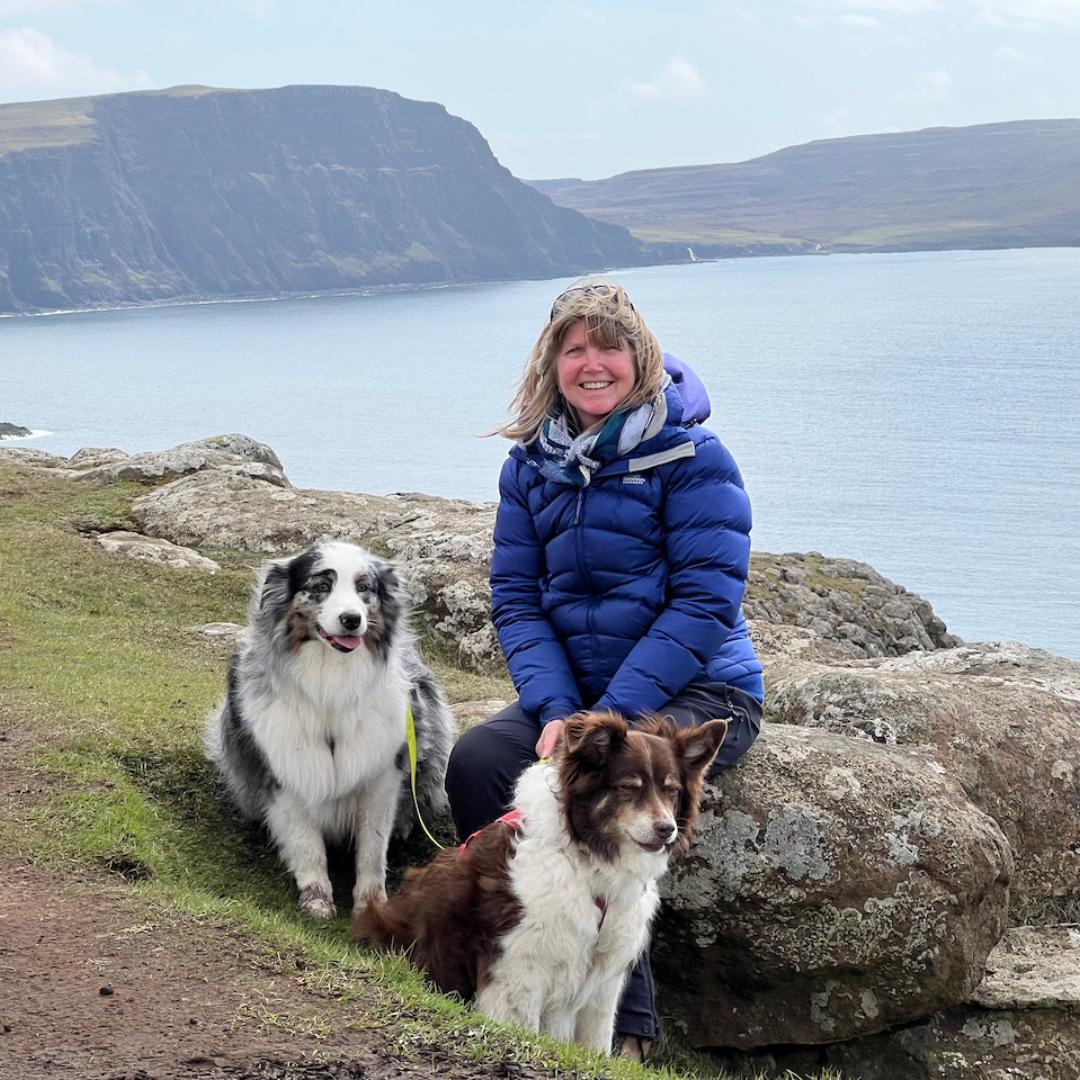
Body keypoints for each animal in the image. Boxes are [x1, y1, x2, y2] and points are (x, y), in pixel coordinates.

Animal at [354, 708, 725, 1054]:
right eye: (627, 788)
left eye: (671, 791)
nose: (667, 829)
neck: (587, 863)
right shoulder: (519, 967)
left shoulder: (603, 983)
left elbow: (596, 1044)